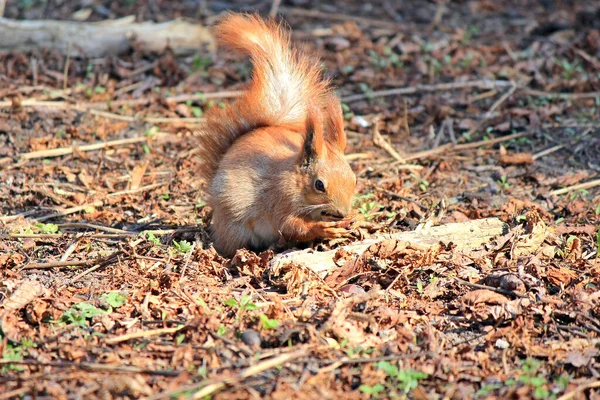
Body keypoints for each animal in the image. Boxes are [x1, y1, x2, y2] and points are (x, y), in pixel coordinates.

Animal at [197, 14, 356, 258]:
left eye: (354, 179)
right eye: (319, 185)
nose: (343, 212)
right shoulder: (278, 198)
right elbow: (291, 225)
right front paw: (322, 229)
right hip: (235, 227)